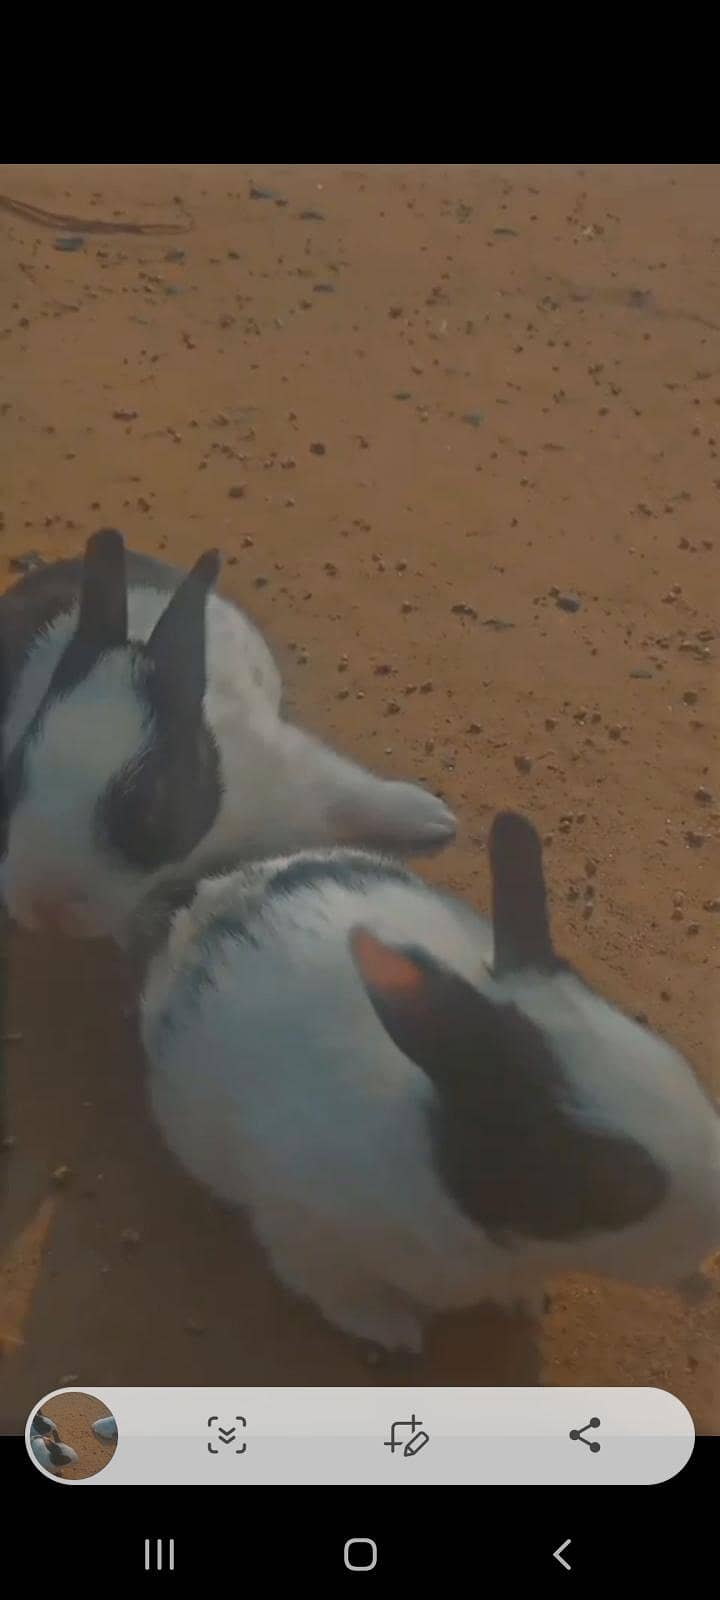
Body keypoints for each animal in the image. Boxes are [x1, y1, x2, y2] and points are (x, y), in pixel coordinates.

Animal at [131, 810, 720, 1354]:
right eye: (616, 1175)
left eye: (678, 1065)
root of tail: (212, 900)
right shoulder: (304, 1233)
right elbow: (343, 1294)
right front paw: (395, 1334)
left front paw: (528, 1301)